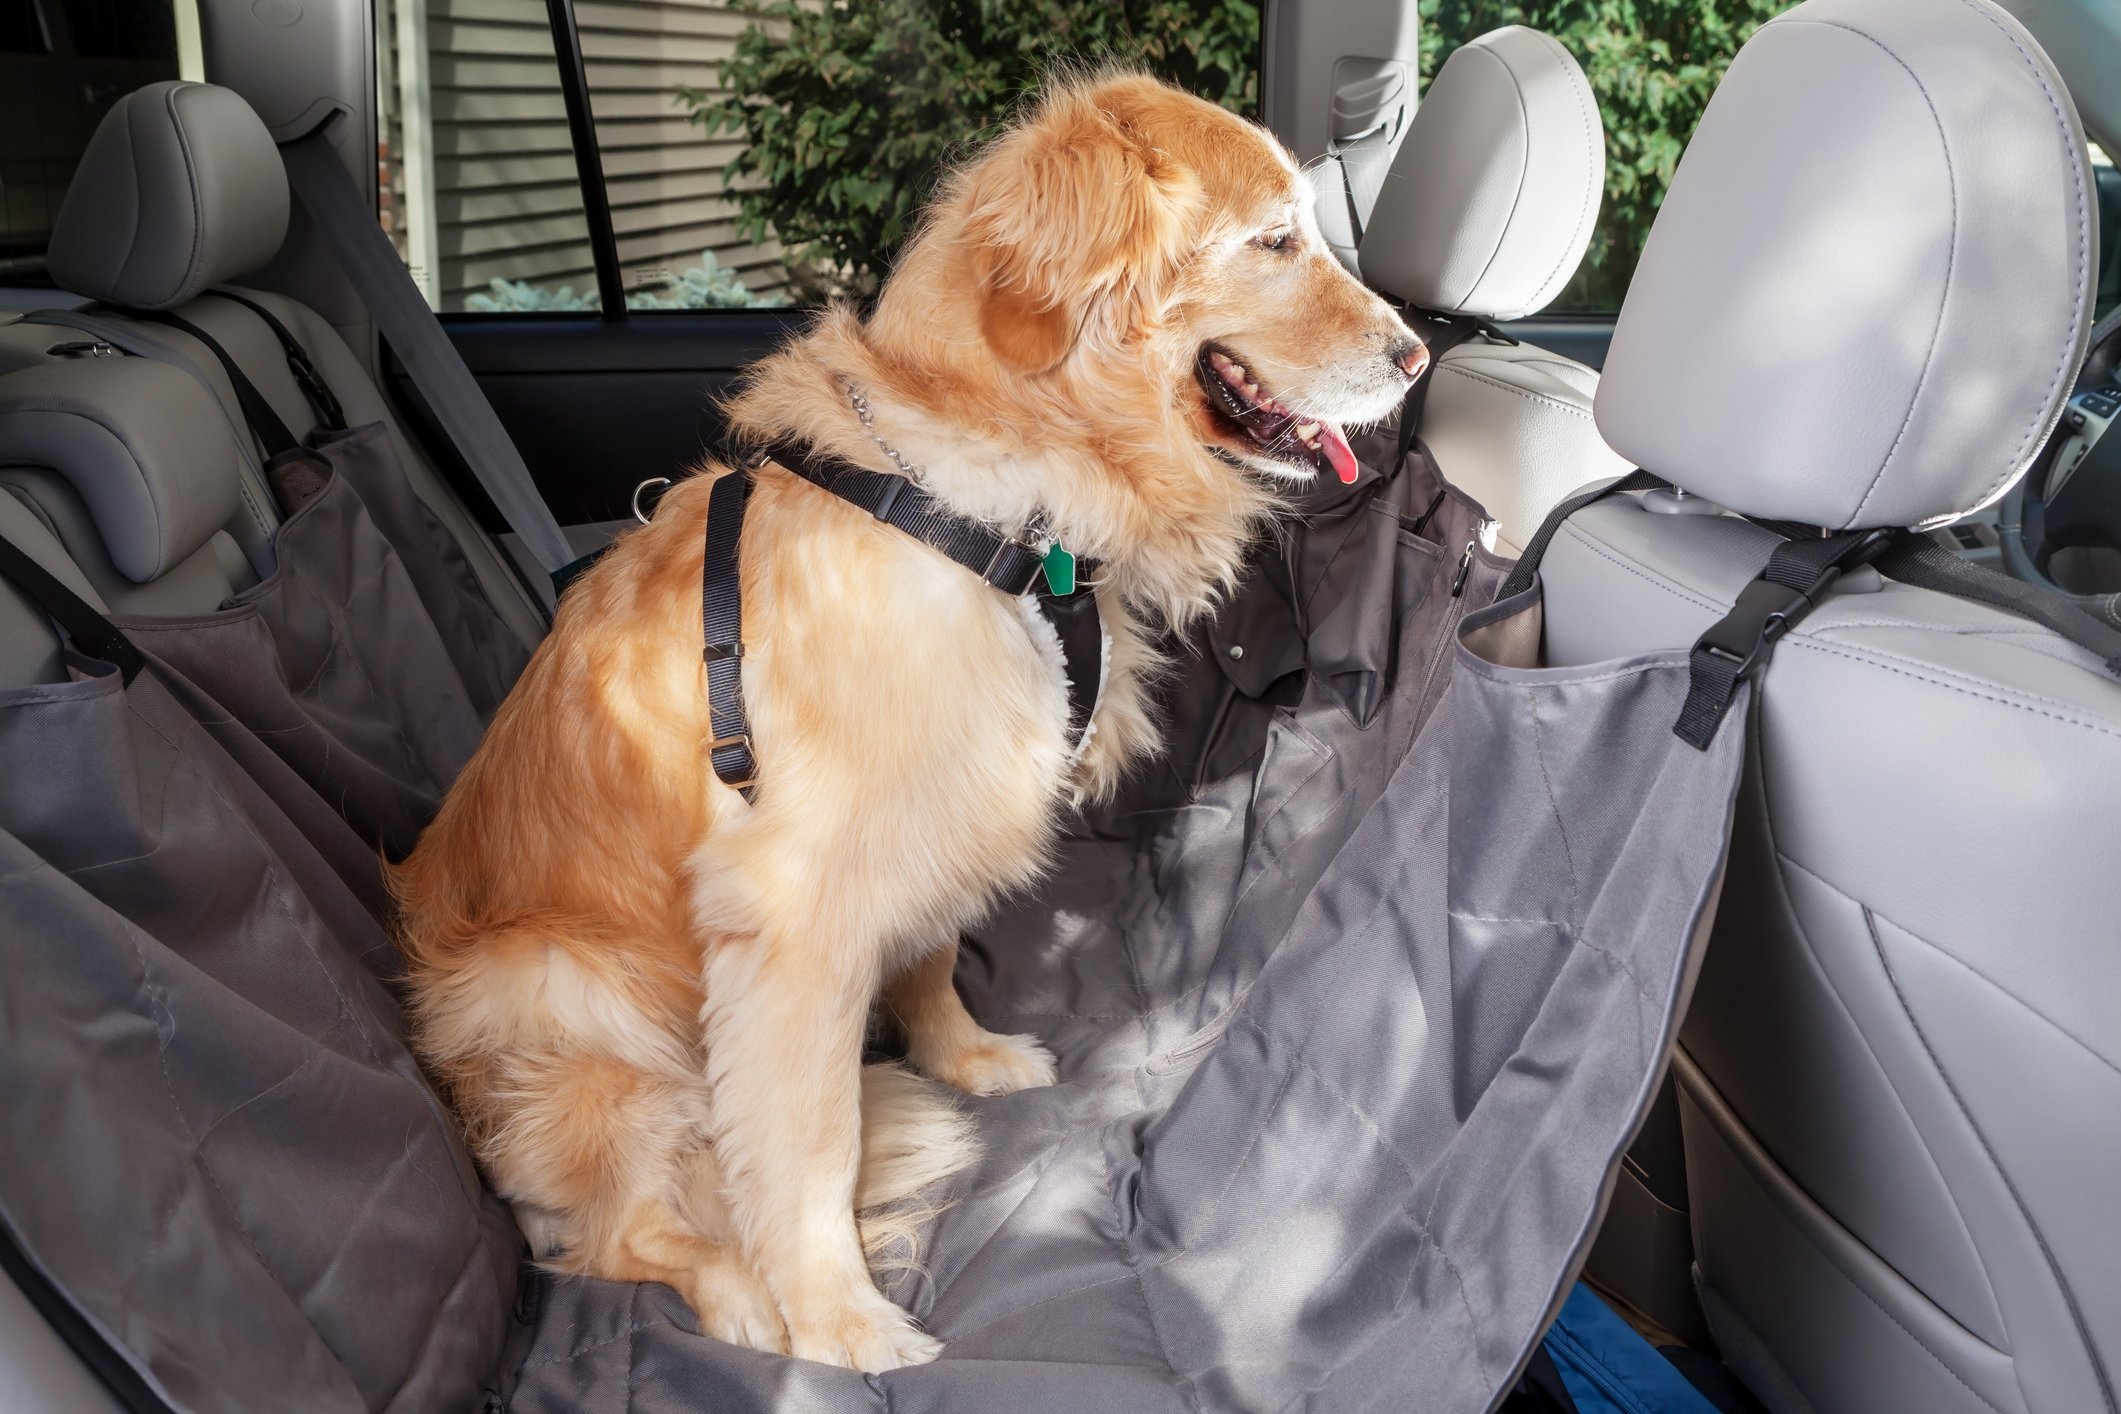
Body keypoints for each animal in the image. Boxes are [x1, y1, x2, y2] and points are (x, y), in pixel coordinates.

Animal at [398, 72, 1425, 1373]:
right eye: (1276, 241)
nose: (1418, 354)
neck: (989, 510)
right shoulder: (794, 917)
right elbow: (810, 1143)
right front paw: (837, 1316)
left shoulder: (945, 805)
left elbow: (933, 955)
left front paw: (968, 1057)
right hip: (560, 991)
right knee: (614, 1227)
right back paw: (740, 1291)